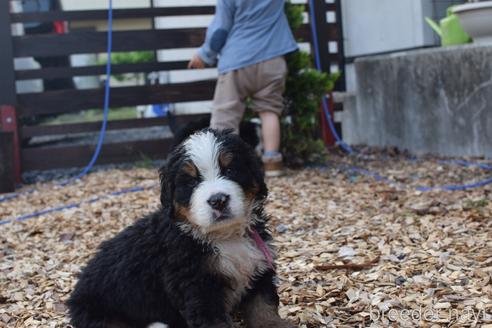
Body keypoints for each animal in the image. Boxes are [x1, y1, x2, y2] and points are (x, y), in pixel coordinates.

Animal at [67, 129, 294, 326]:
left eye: (230, 170)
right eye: (191, 182)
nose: (218, 200)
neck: (225, 237)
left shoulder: (258, 267)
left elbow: (263, 307)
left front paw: (275, 325)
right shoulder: (198, 288)